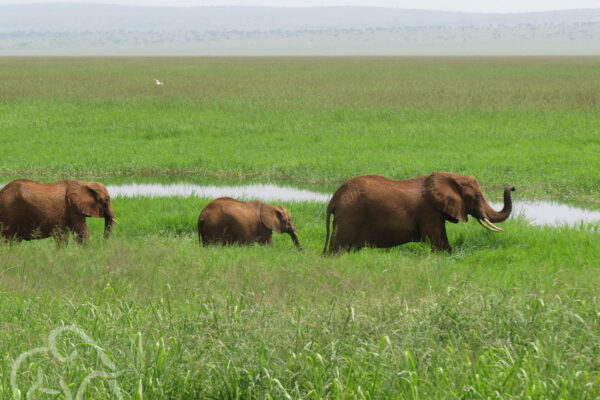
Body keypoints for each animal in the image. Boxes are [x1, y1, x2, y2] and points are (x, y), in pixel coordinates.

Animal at [324, 172, 516, 253]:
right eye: (476, 197)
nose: (513, 187)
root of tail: (334, 200)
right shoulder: (429, 212)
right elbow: (440, 244)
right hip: (350, 216)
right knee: (338, 249)